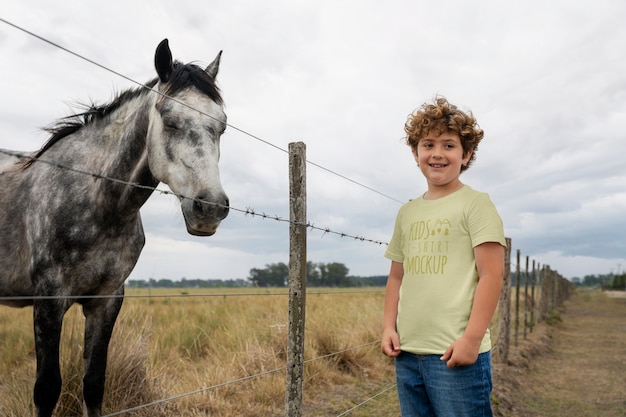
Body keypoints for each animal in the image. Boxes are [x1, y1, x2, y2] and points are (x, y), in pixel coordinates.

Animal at [0, 39, 229, 416]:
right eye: (169, 121)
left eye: (222, 126)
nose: (209, 208)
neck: (97, 201)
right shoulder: (49, 299)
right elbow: (47, 389)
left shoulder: (106, 300)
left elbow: (94, 384)